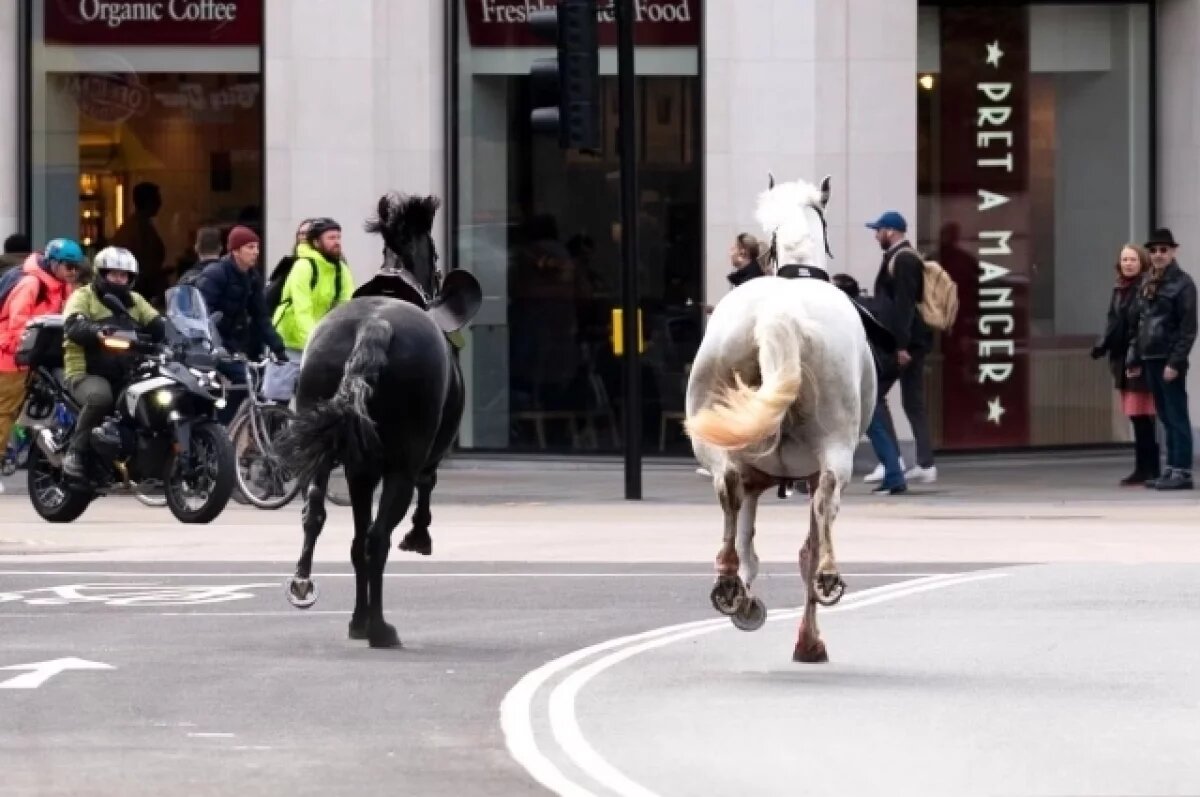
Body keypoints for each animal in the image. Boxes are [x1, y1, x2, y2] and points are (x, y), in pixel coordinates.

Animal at [279, 192, 482, 648]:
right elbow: (425, 487)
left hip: (329, 449)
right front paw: (419, 536)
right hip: (401, 465)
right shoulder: (416, 458)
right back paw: (380, 628)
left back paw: (314, 589)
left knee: (321, 517)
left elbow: (353, 541)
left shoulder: (360, 471)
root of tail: (375, 326)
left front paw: (355, 620)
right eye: (435, 252)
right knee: (378, 538)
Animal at [686, 176, 873, 667]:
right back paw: (825, 579)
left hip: (716, 440)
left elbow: (747, 537)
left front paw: (746, 597)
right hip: (835, 448)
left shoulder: (754, 475)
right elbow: (804, 544)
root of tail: (779, 313)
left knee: (728, 492)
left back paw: (729, 584)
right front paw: (808, 640)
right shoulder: (803, 473)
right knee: (825, 510)